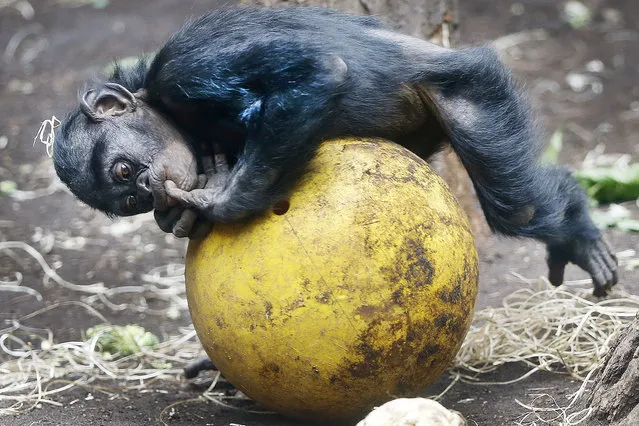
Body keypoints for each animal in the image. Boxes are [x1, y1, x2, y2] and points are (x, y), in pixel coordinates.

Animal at [53, 7, 616, 300]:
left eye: (124, 169)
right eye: (128, 199)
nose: (148, 190)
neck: (157, 99)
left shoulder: (191, 67)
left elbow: (318, 71)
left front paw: (223, 202)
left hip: (476, 91)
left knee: (516, 206)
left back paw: (579, 235)